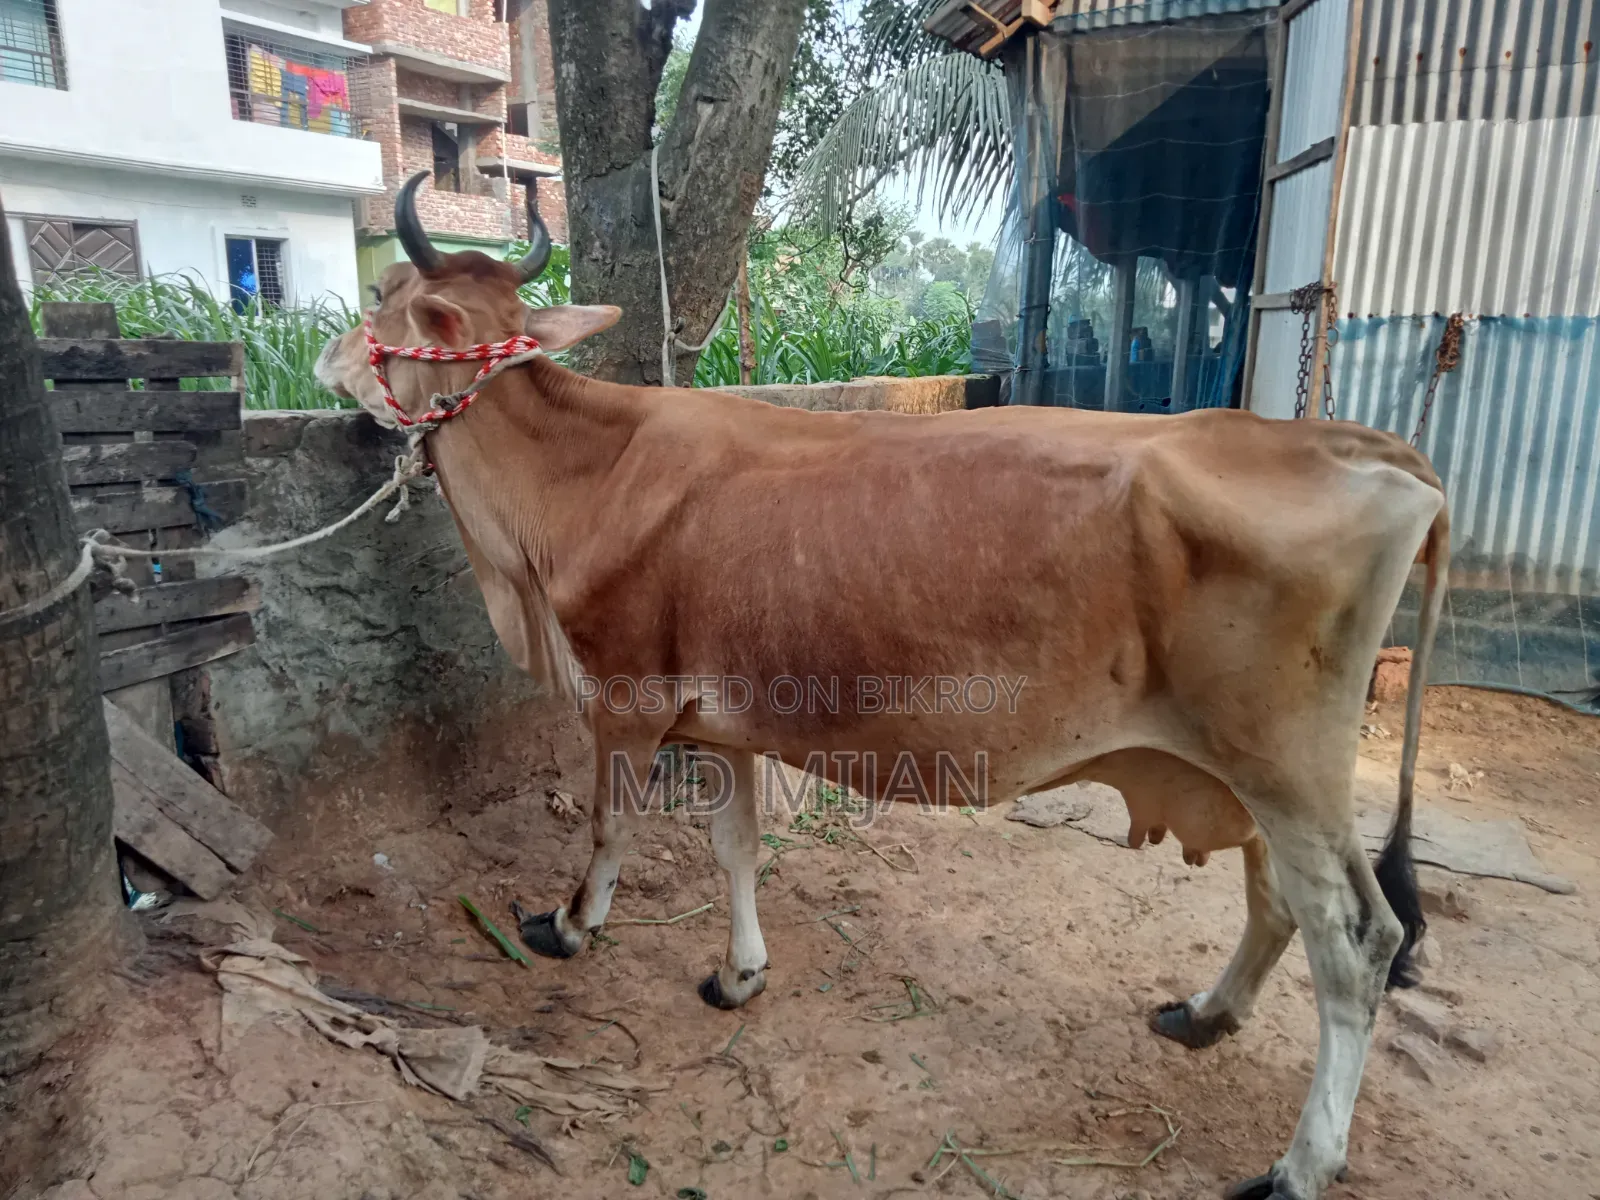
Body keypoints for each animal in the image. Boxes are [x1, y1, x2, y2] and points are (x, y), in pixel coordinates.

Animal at [315, 171, 1450, 1200]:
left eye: (383, 302)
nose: (326, 357)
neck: (581, 477)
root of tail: (1366, 448)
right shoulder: (724, 722)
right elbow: (736, 846)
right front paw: (740, 972)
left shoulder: (624, 701)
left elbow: (607, 827)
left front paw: (568, 926)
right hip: (1253, 777)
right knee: (1277, 905)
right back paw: (1205, 1015)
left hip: (1288, 771)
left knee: (1356, 943)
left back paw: (1300, 1166)